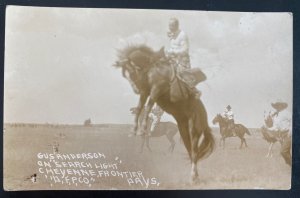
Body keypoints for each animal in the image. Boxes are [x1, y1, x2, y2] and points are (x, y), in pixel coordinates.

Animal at [113, 44, 214, 183]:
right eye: (124, 75)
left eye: (132, 72)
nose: (135, 90)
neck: (153, 70)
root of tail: (204, 116)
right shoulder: (145, 92)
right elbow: (140, 108)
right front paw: (133, 130)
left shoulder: (156, 90)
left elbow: (148, 106)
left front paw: (142, 129)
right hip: (183, 131)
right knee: (191, 151)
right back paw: (195, 178)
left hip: (194, 130)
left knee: (194, 152)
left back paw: (193, 176)